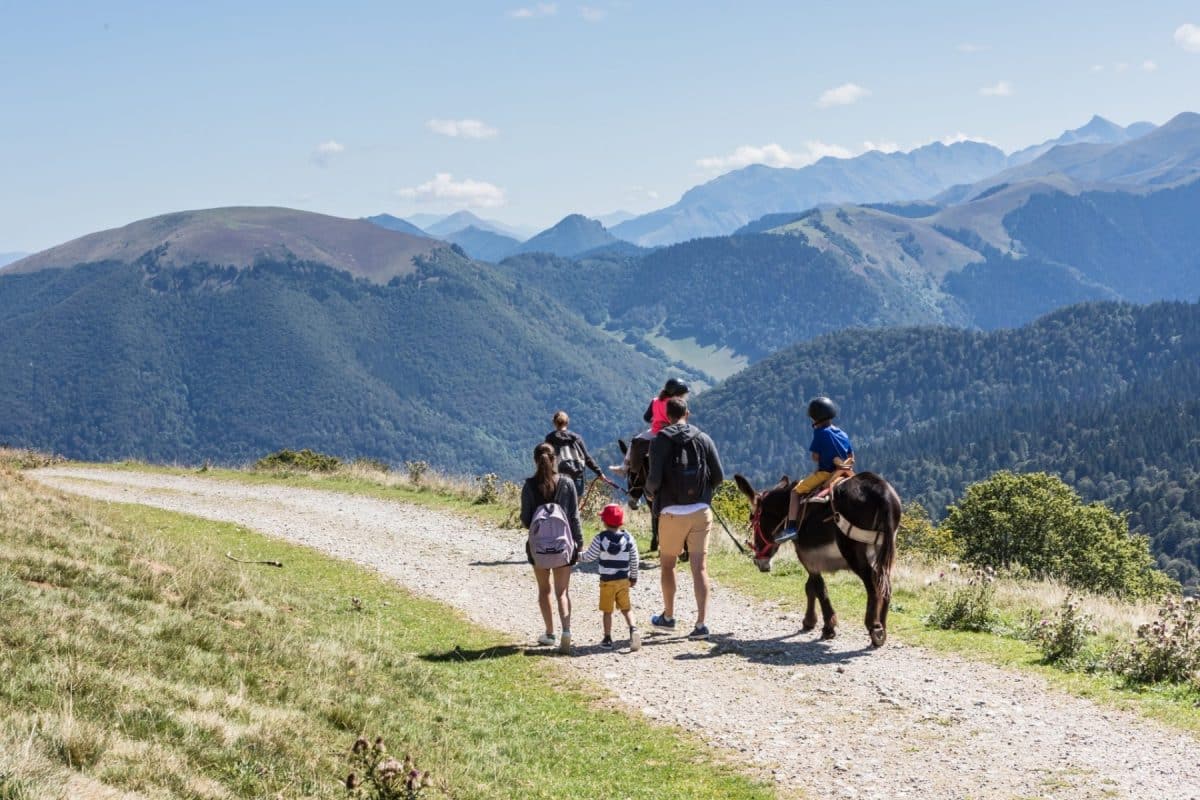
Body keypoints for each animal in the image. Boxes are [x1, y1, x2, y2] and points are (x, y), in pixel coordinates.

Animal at [729, 472, 902, 647]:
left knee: (873, 587)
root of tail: (882, 492)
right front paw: (810, 622)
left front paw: (828, 628)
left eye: (752, 517)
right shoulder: (811, 558)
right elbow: (810, 587)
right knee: (885, 585)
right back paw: (883, 627)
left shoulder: (806, 557)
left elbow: (818, 588)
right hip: (883, 552)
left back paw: (874, 628)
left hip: (854, 552)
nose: (759, 562)